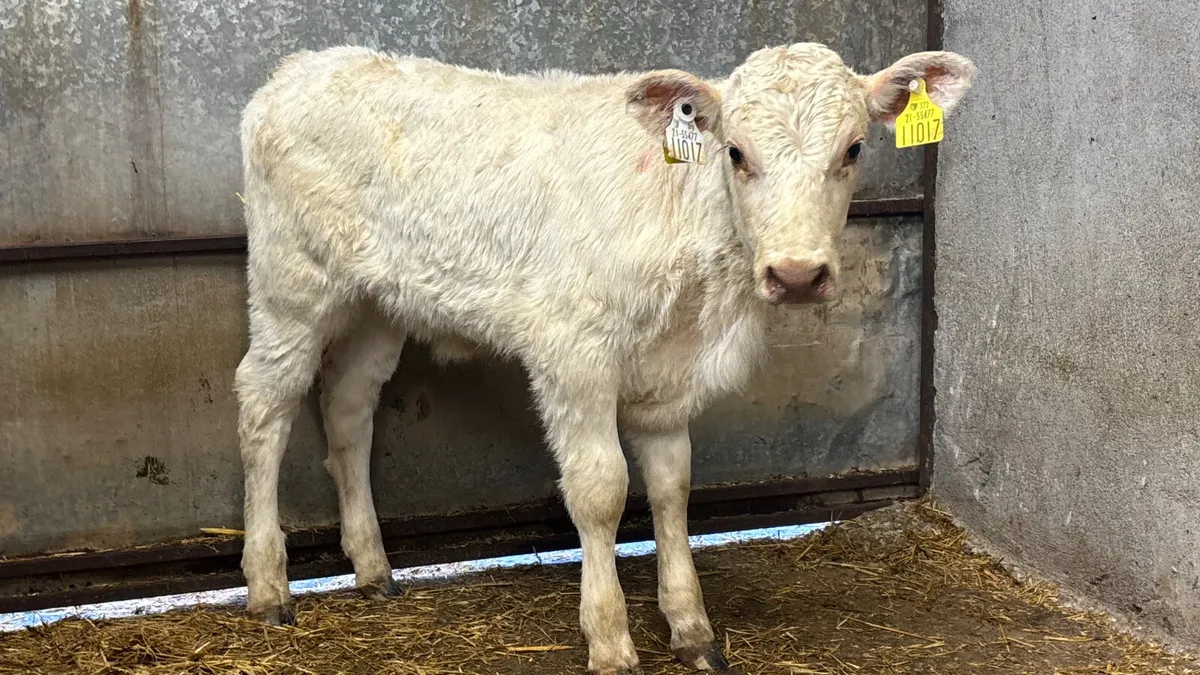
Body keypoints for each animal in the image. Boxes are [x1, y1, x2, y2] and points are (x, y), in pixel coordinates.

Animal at [235, 42, 974, 674]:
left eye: (853, 148)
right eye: (736, 151)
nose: (796, 274)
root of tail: (300, 66)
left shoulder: (670, 378)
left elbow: (672, 486)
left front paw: (691, 627)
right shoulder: (574, 354)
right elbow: (601, 489)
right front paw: (611, 639)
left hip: (377, 305)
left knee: (348, 408)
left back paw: (371, 566)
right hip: (291, 284)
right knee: (264, 403)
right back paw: (268, 582)